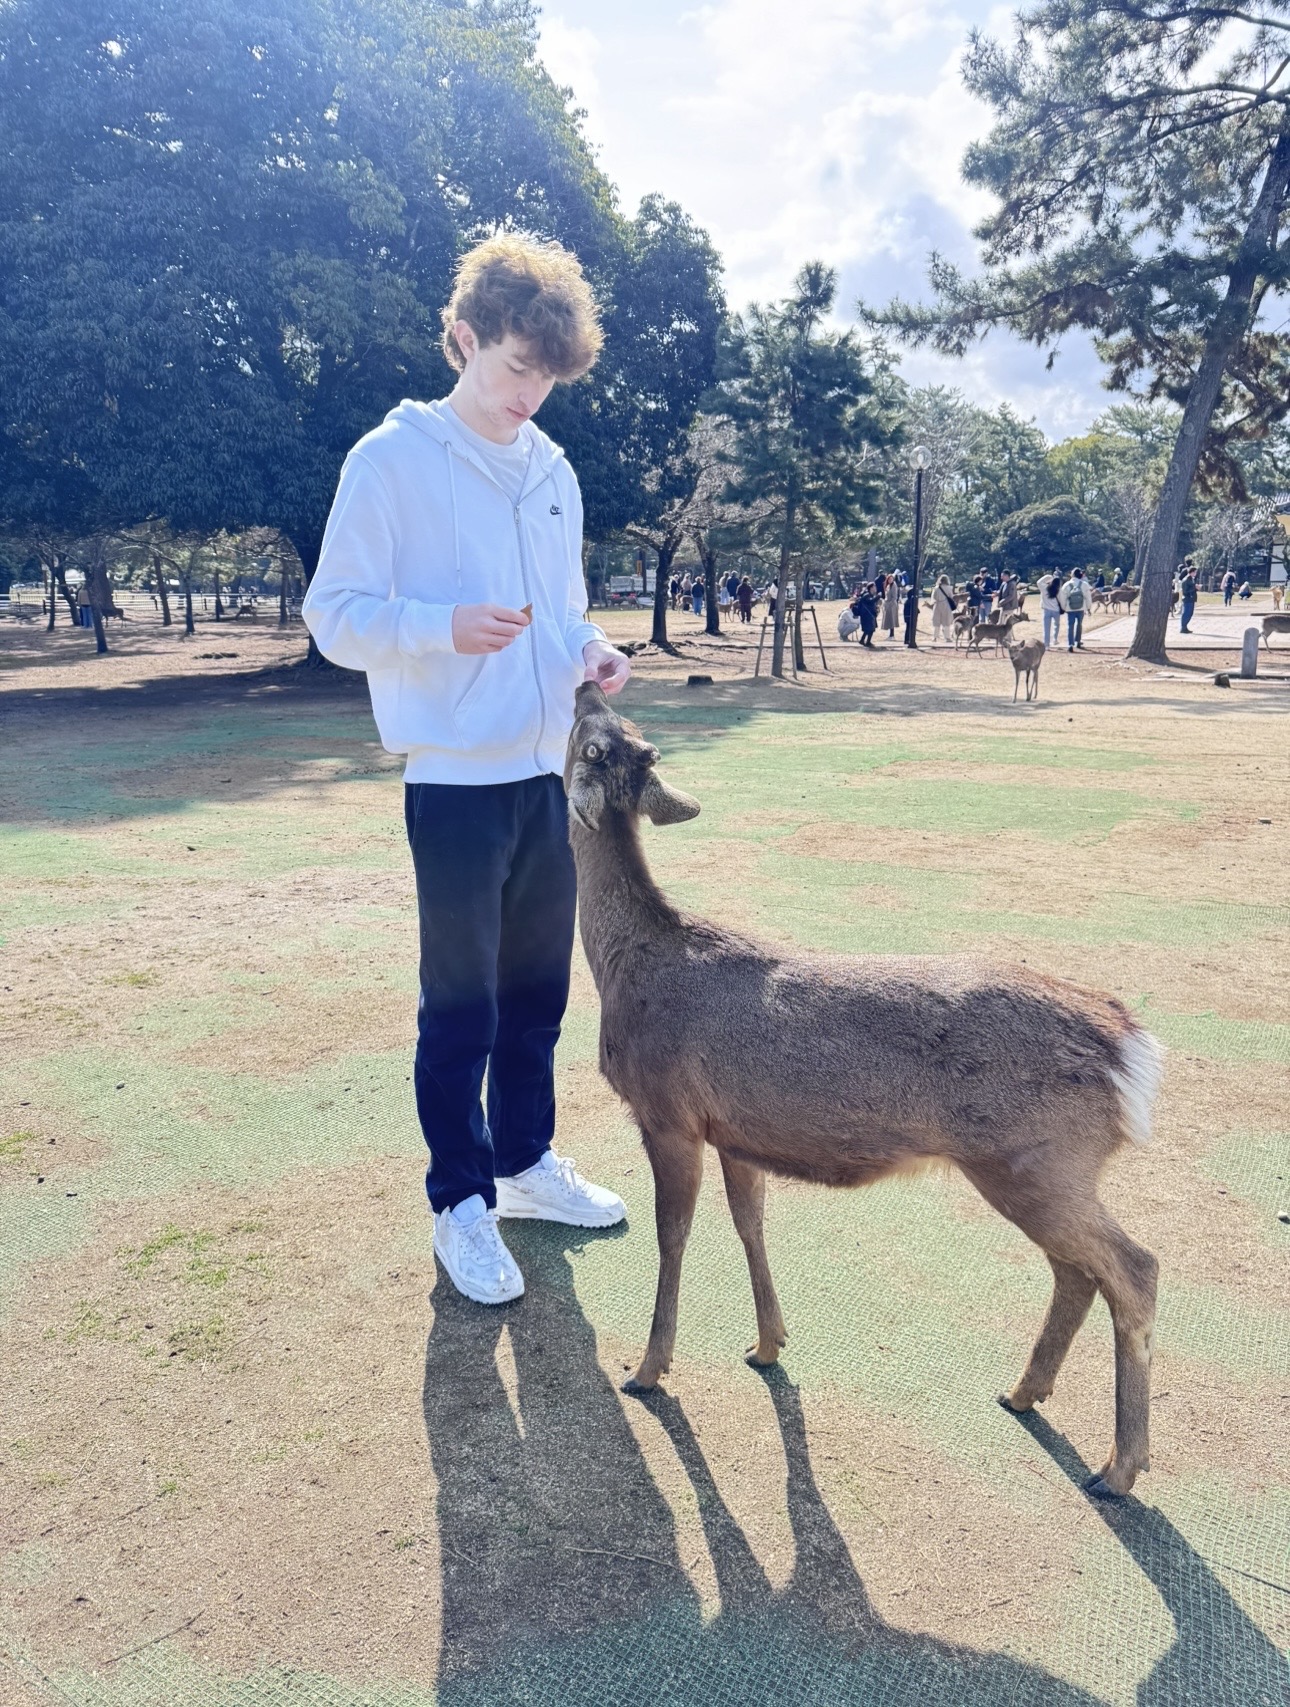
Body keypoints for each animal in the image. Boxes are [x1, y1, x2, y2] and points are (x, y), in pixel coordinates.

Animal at [564, 682, 1165, 1499]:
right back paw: (1024, 1392)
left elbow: (673, 1234)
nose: (586, 683)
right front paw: (767, 1344)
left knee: (1134, 1269)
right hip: (1040, 1167)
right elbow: (750, 1223)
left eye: (597, 740)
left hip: (1036, 1157)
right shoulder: (735, 1129)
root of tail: (1130, 1049)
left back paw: (1120, 1466)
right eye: (621, 732)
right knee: (1077, 1271)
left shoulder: (667, 1112)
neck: (627, 971)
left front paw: (650, 1369)